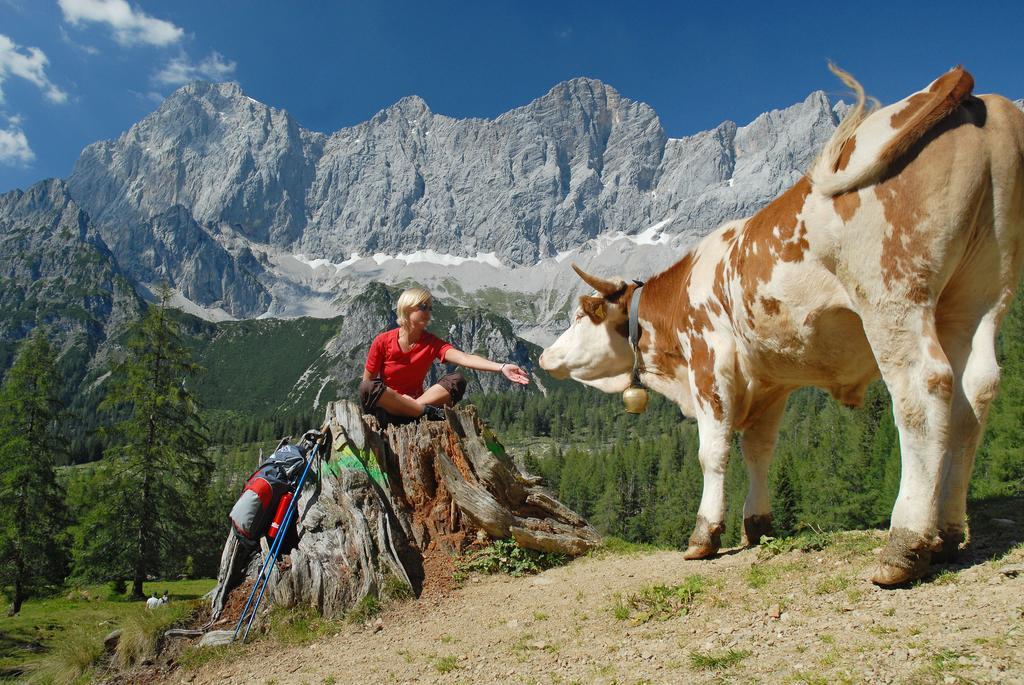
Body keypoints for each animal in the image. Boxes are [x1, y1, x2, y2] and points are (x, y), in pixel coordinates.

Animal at [536, 68, 1024, 581]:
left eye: (581, 314)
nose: (543, 355)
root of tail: (969, 93)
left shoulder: (710, 362)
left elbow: (712, 452)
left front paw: (704, 536)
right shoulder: (769, 383)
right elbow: (759, 450)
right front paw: (758, 525)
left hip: (893, 296)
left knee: (922, 392)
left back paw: (905, 544)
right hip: (979, 297)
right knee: (974, 394)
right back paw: (947, 535)